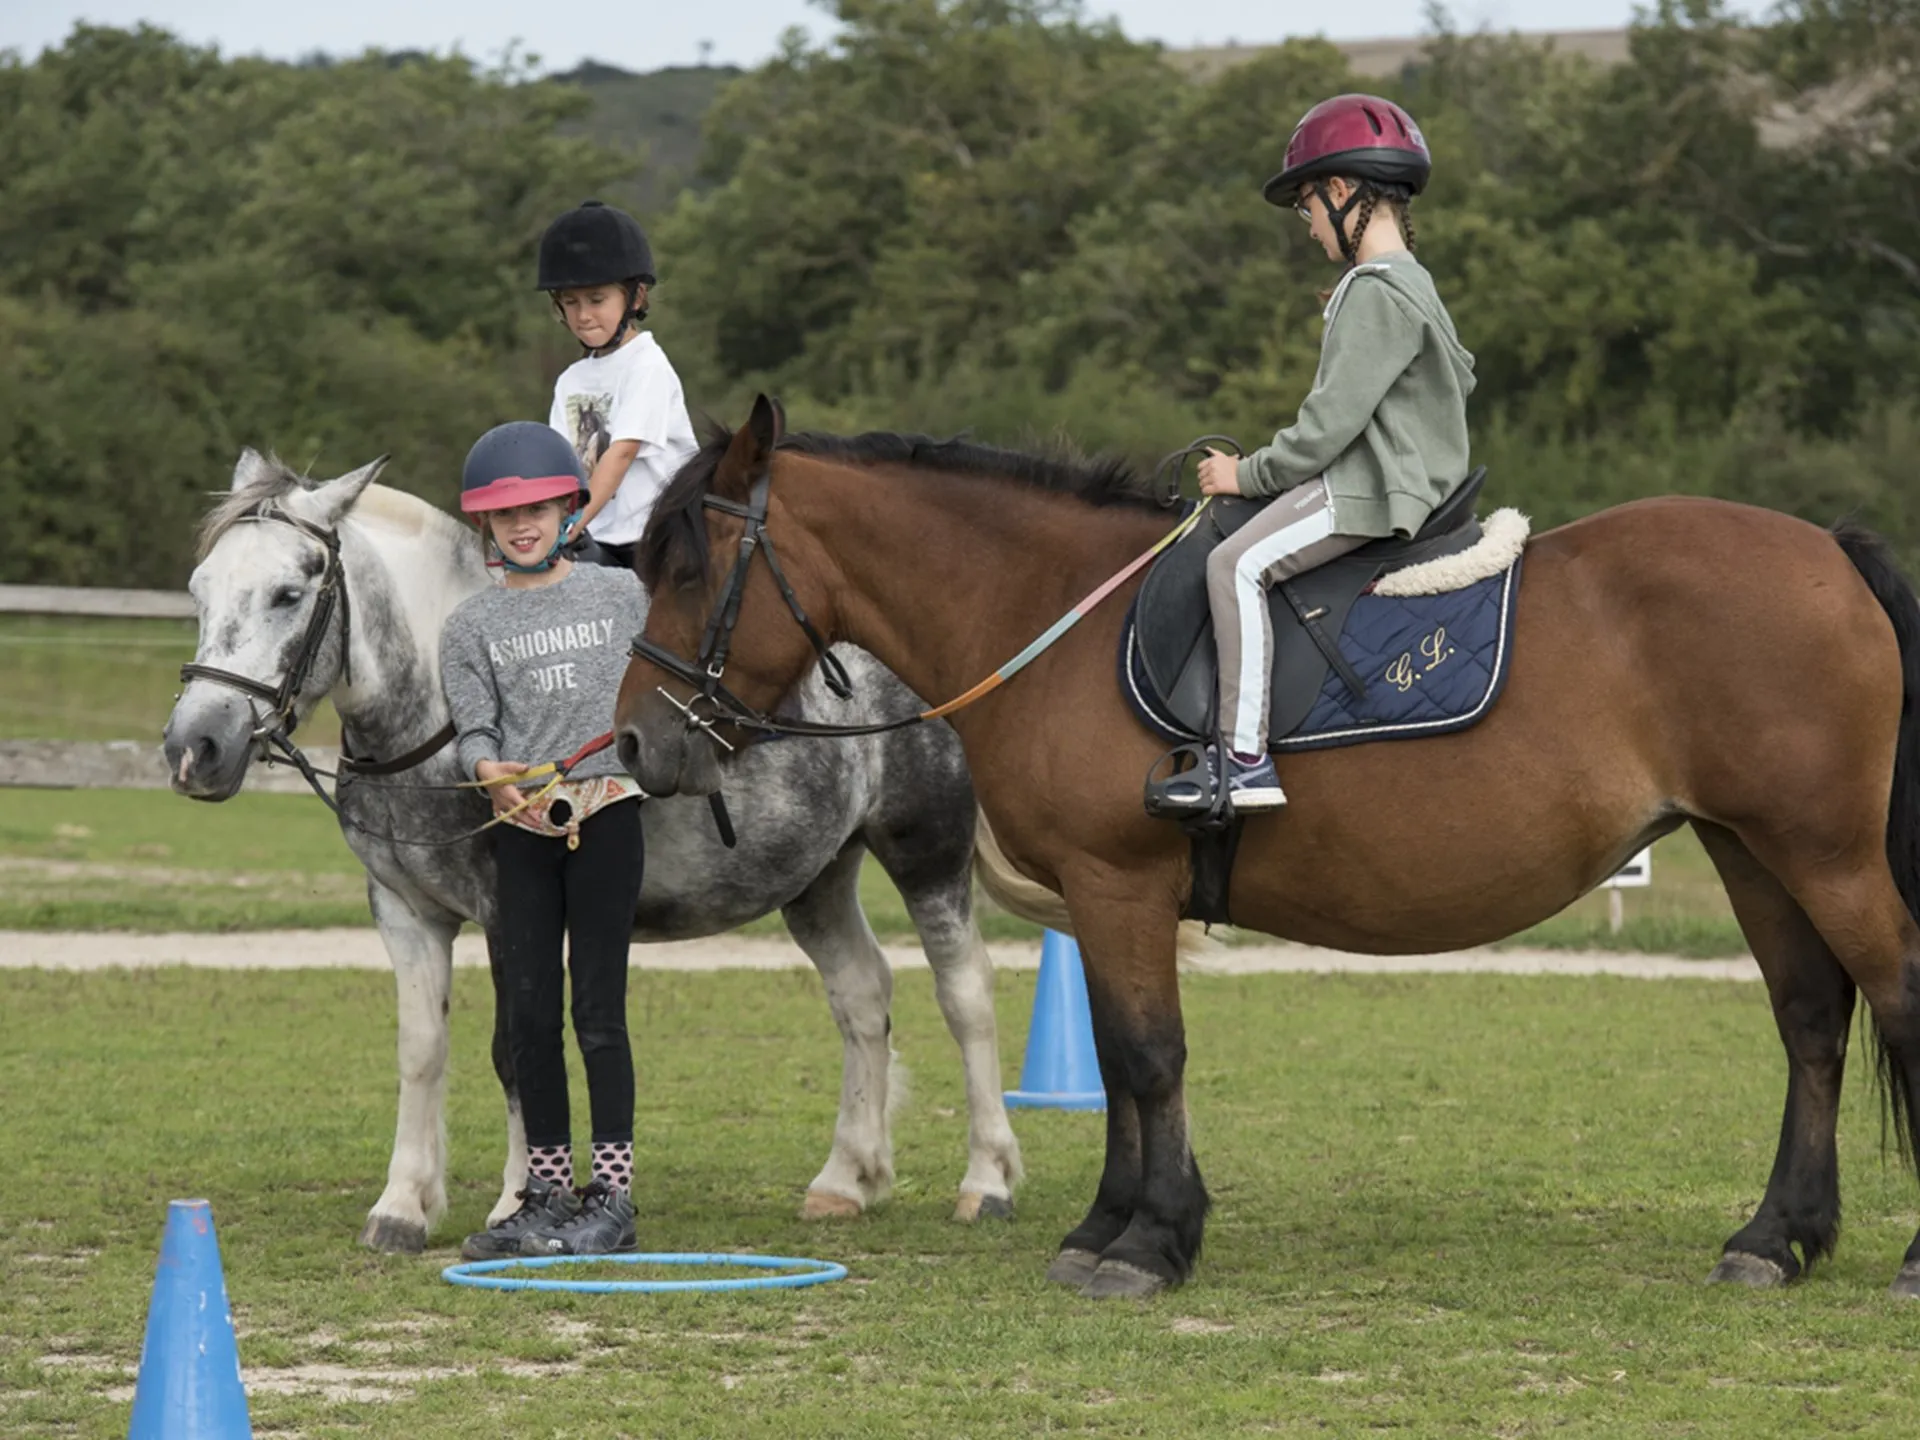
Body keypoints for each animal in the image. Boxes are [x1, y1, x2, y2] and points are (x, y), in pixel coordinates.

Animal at [614, 397, 1920, 1305]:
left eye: (687, 566)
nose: (633, 741)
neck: (1052, 615)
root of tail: (1826, 549)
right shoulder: (1100, 901)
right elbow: (1124, 1064)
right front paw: (1108, 1226)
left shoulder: (1117, 884)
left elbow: (1149, 1059)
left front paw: (1150, 1244)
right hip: (1752, 851)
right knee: (1811, 1019)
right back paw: (1776, 1240)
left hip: (1824, 854)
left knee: (1893, 999)